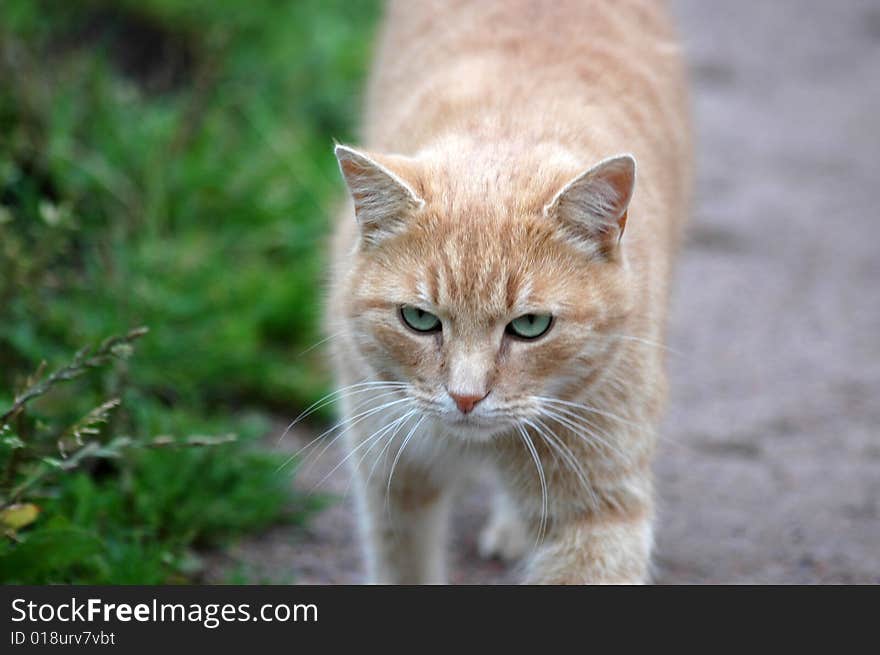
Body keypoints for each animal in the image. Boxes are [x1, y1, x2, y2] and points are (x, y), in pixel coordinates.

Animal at [326, 0, 692, 584]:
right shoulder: (389, 470)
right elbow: (402, 563)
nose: (465, 397)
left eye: (530, 326)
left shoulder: (599, 513)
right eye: (419, 320)